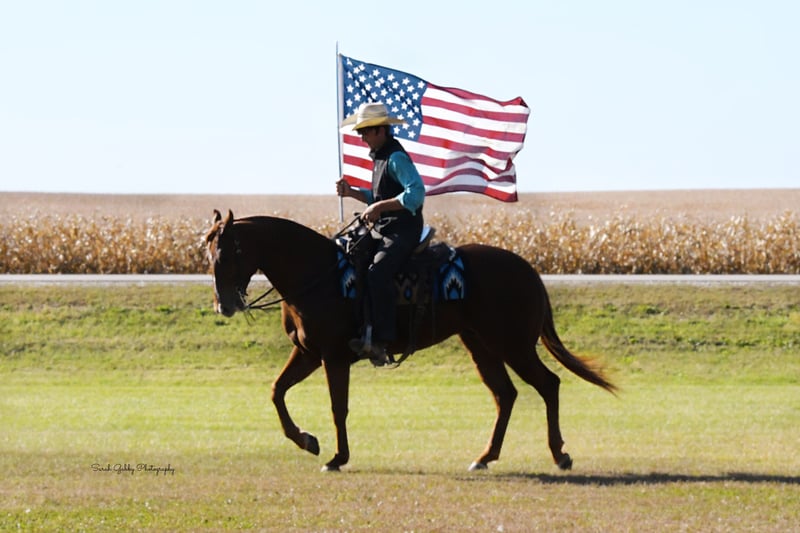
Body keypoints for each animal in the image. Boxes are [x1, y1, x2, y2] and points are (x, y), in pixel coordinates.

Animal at [205, 209, 616, 472]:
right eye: (207, 252)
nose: (223, 304)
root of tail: (527, 269)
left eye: (228, 251)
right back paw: (485, 457)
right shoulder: (307, 353)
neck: (319, 275)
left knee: (548, 384)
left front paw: (337, 458)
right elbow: (277, 391)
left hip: (513, 345)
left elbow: (339, 407)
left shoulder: (333, 356)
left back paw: (559, 455)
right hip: (481, 345)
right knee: (506, 394)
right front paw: (308, 440)